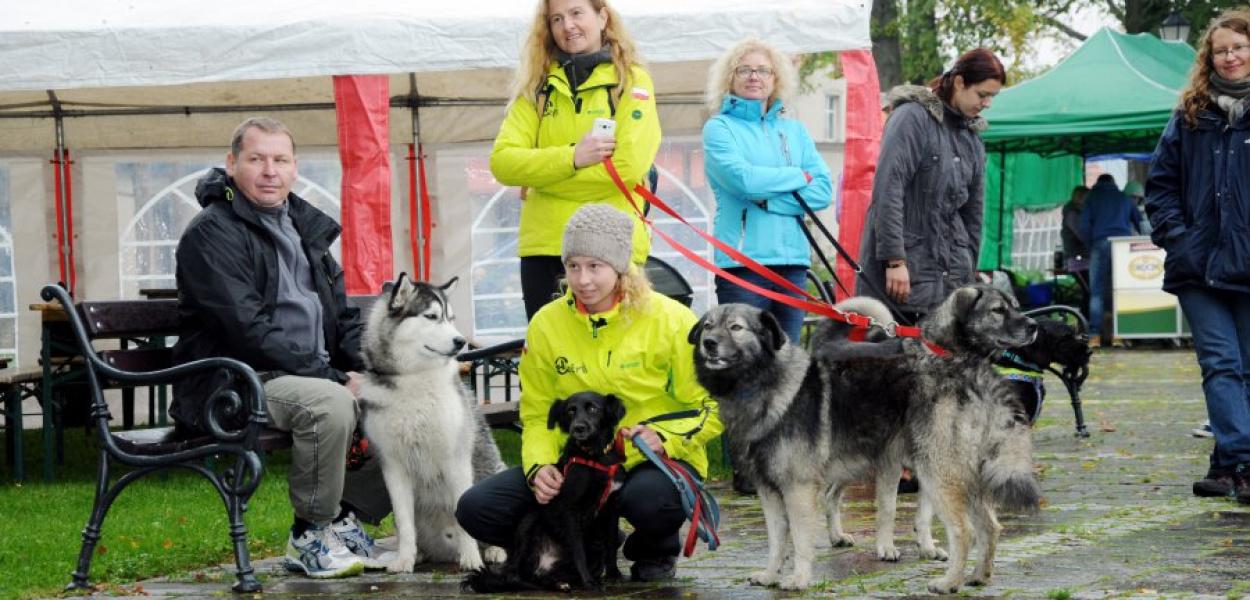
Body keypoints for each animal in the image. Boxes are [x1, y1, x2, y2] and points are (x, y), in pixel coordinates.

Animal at [465, 392, 625, 592]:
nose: (578, 428)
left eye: (593, 408)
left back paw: (560, 583)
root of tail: (543, 565)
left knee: (543, 578)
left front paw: (614, 574)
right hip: (528, 522)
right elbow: (578, 550)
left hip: (593, 550)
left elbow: (611, 542)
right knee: (515, 576)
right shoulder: (570, 509)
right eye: (570, 411)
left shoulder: (612, 507)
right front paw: (588, 582)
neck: (595, 456)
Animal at [700, 287, 1040, 595]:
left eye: (736, 328)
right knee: (986, 526)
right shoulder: (778, 487)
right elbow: (784, 537)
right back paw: (975, 576)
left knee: (967, 530)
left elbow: (902, 513)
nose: (1033, 325)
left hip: (934, 472)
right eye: (998, 310)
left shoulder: (807, 486)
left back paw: (950, 582)